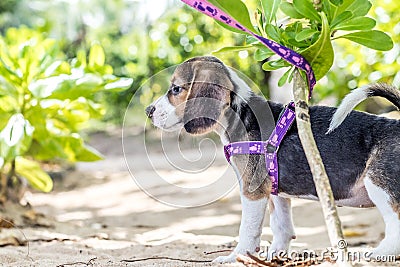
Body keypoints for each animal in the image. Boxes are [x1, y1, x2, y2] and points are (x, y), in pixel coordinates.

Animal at [145, 56, 400, 264]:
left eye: (176, 89)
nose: (148, 110)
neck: (240, 114)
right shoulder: (276, 193)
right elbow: (281, 227)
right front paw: (275, 255)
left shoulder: (253, 192)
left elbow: (247, 230)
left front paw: (235, 256)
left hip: (378, 187)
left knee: (395, 225)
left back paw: (379, 253)